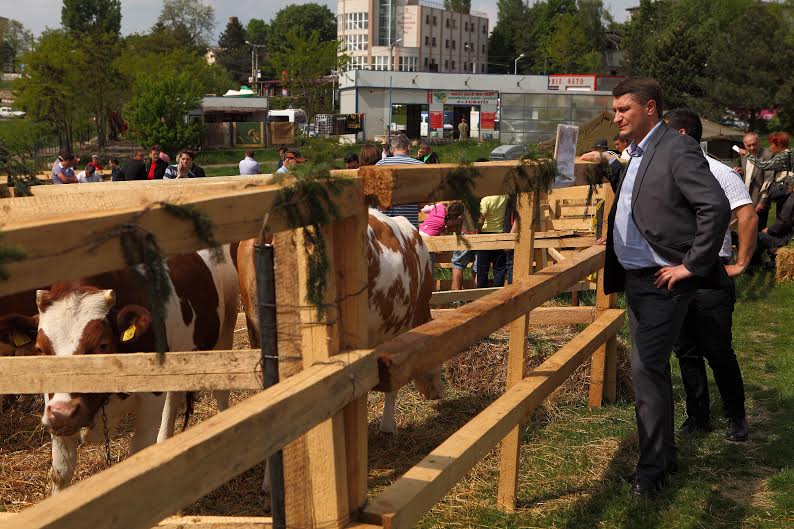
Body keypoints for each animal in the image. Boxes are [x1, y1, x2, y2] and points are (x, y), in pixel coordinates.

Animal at [14, 245, 238, 492]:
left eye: (102, 344)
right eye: (40, 349)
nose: (64, 414)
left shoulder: (151, 397)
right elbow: (61, 472)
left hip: (225, 333)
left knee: (220, 395)